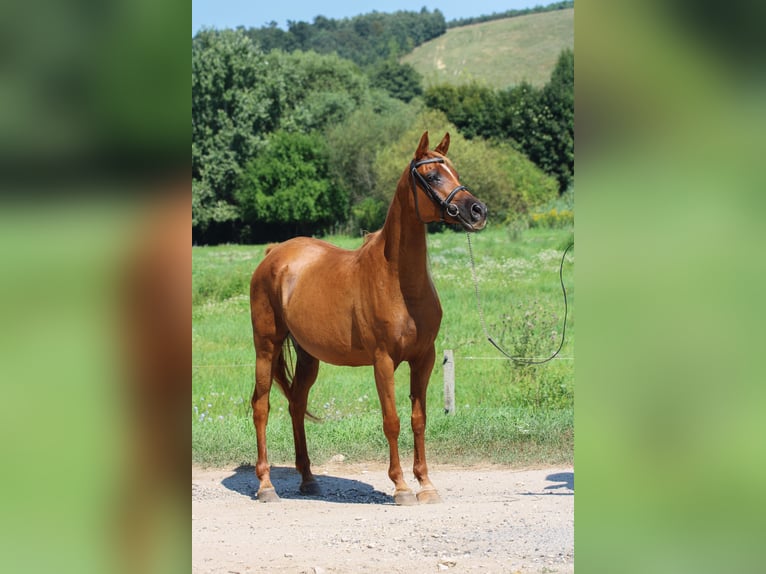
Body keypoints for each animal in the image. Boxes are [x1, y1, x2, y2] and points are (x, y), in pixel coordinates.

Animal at [249, 133, 486, 506]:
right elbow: (392, 420)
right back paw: (266, 485)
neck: (397, 280)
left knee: (297, 405)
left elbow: (419, 419)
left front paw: (426, 484)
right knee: (261, 406)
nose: (478, 211)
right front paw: (401, 487)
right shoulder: (383, 361)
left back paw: (308, 479)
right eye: (433, 176)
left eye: (455, 173)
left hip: (308, 356)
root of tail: (274, 253)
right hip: (266, 347)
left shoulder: (424, 358)